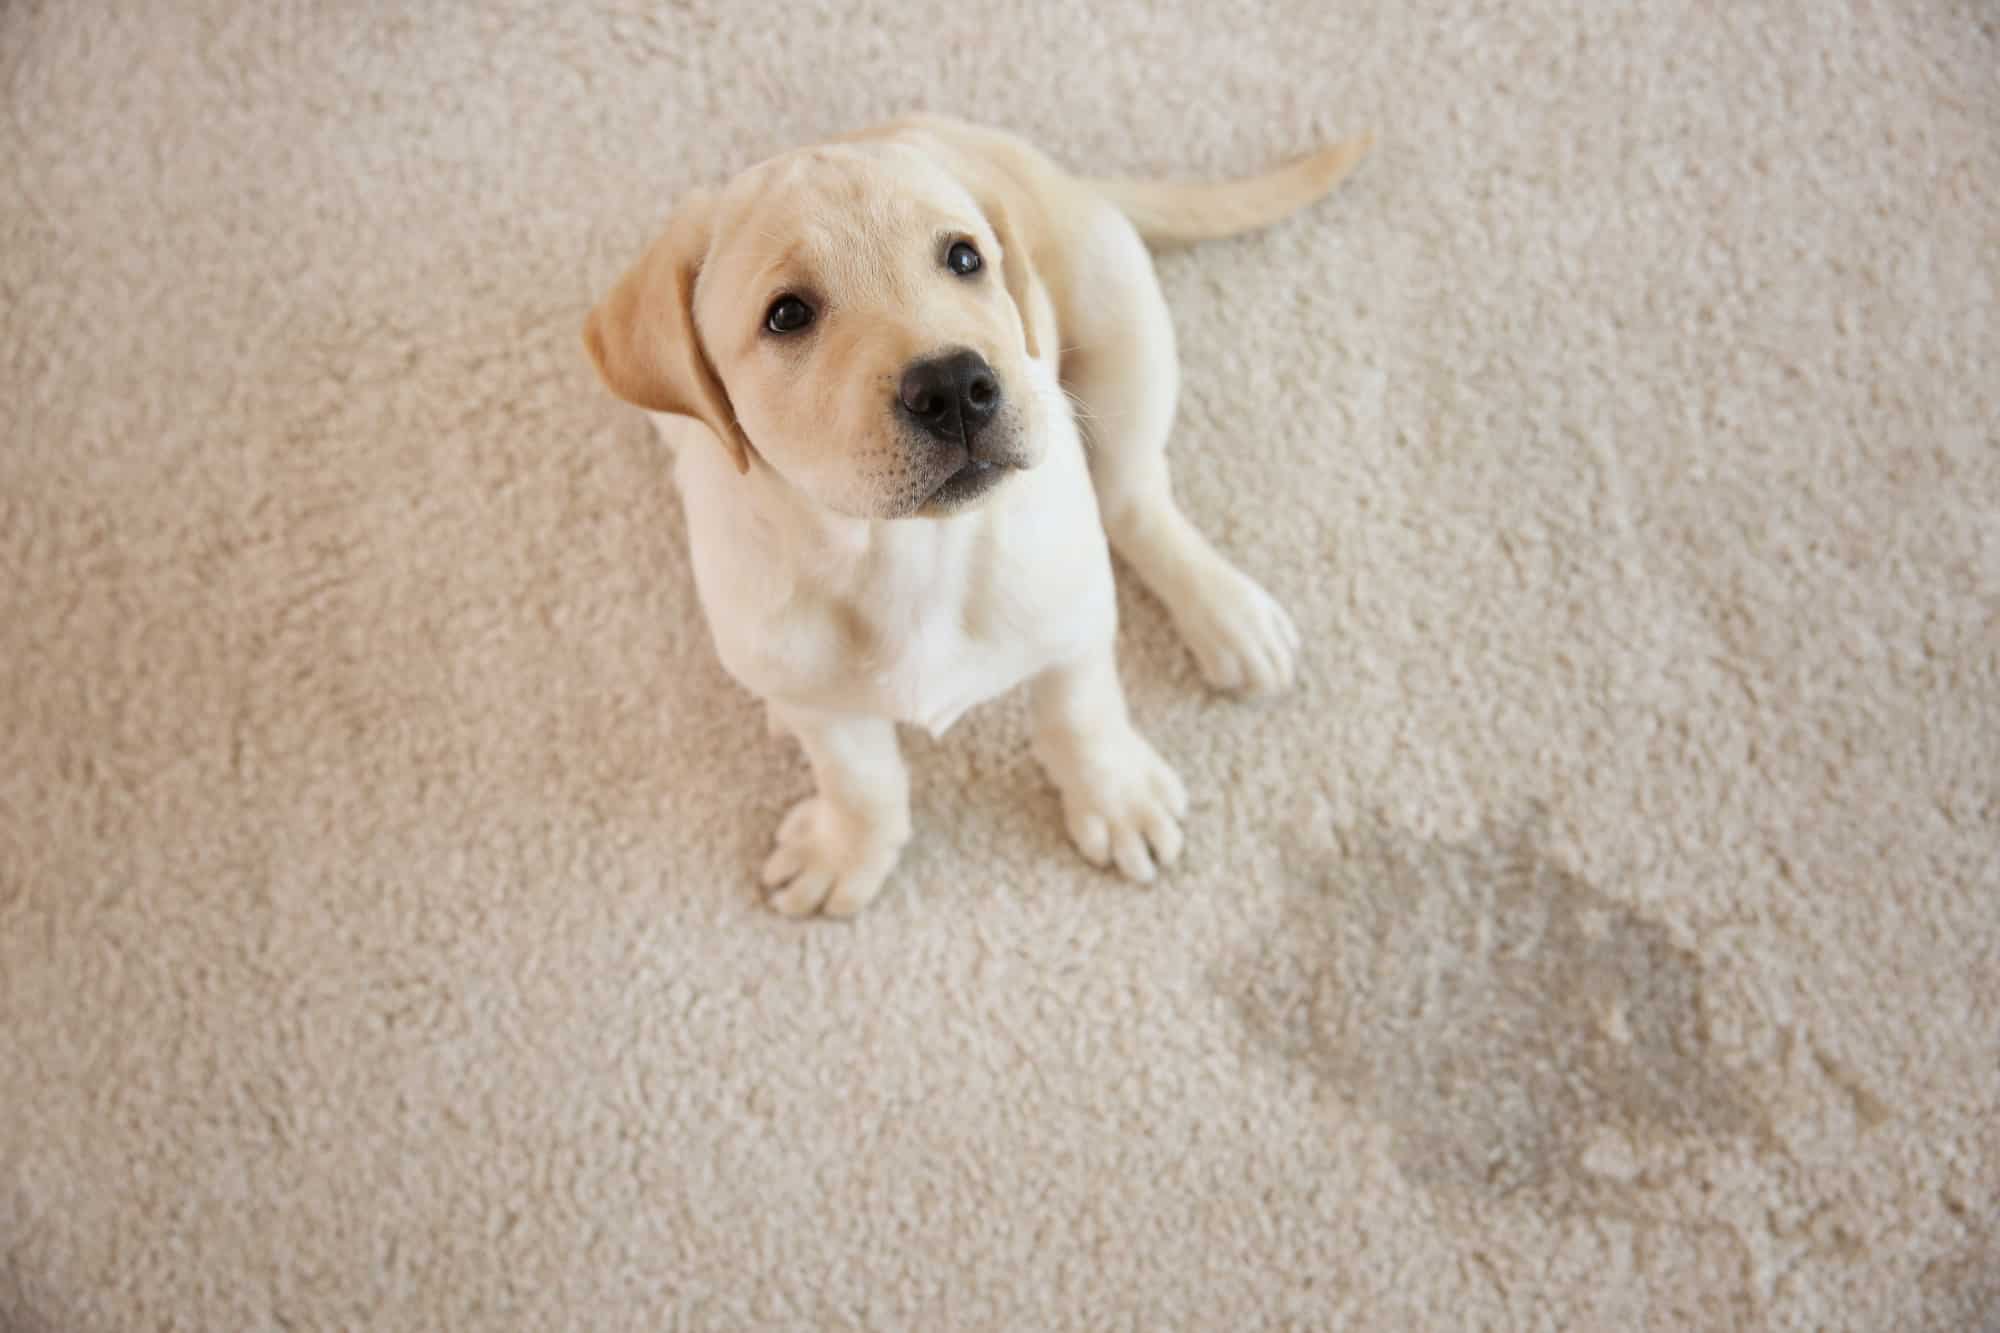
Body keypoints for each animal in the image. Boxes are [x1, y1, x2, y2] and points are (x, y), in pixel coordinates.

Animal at [576, 116, 1360, 912]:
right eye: (787, 314)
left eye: (963, 258)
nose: (955, 386)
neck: (903, 552)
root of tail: (1051, 172)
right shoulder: (810, 690)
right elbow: (859, 777)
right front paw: (849, 847)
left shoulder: (1074, 618)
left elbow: (1081, 713)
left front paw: (1115, 798)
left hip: (1123, 328)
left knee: (1134, 496)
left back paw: (1228, 613)